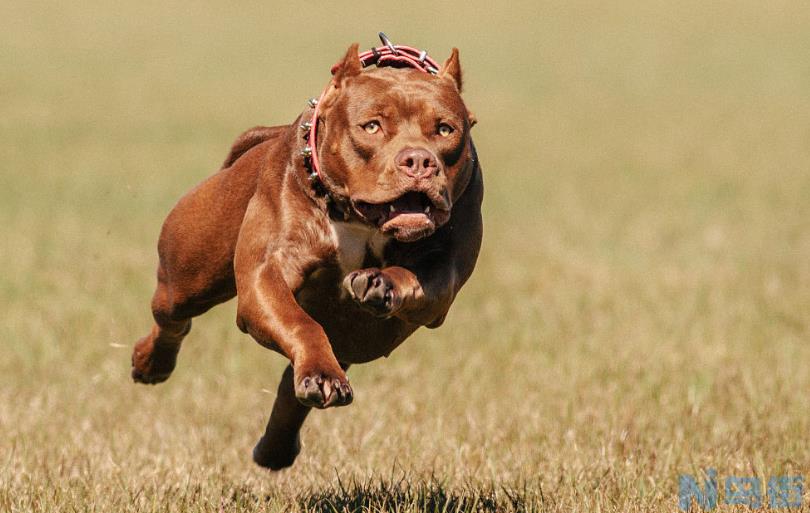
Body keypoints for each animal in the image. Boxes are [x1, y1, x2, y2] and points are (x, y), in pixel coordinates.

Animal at [131, 41, 480, 468]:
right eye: (372, 126)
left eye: (445, 129)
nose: (418, 160)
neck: (359, 219)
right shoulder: (265, 280)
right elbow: (300, 325)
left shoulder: (442, 279)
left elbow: (416, 280)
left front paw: (380, 284)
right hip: (188, 273)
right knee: (172, 317)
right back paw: (151, 363)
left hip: (347, 336)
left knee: (293, 382)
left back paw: (278, 443)